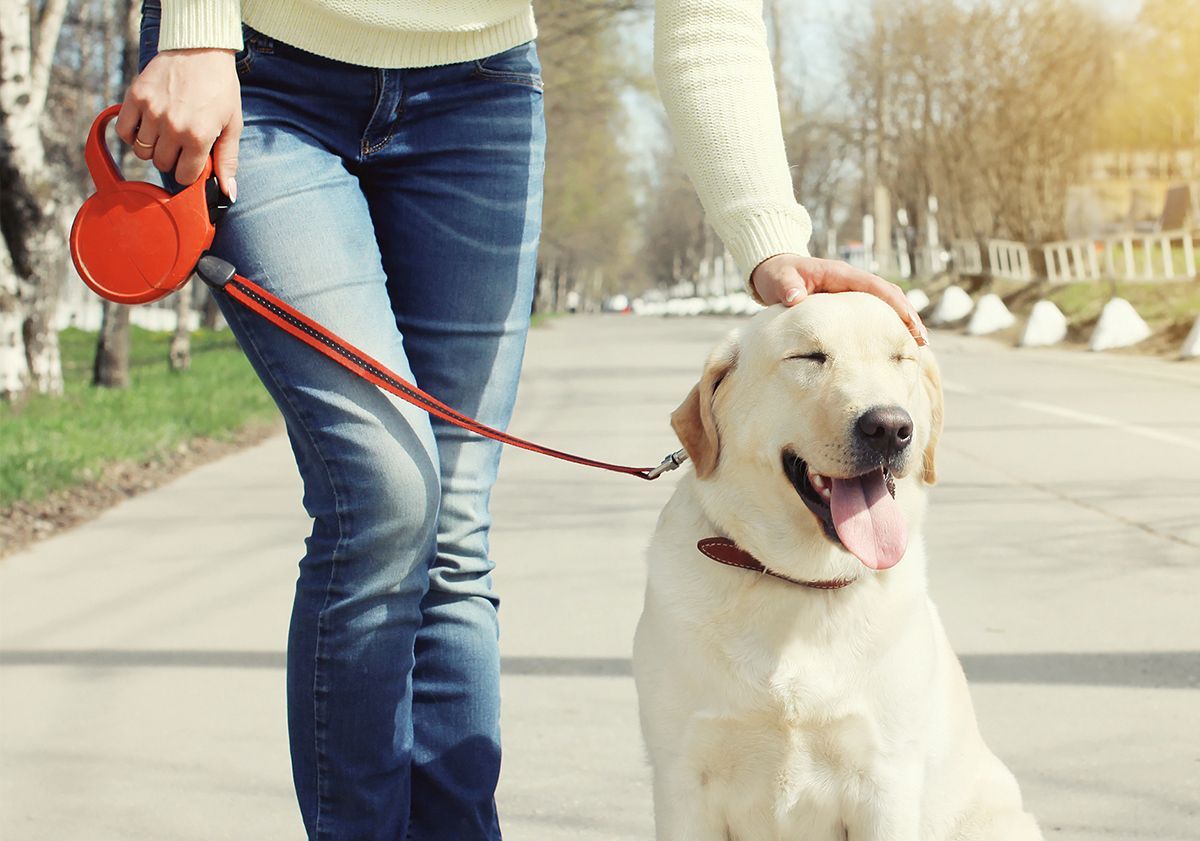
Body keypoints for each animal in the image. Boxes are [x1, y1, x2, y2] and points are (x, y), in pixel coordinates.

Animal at [633, 293, 1036, 839]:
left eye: (900, 359)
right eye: (808, 357)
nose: (889, 428)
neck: (799, 581)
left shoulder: (885, 782)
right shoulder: (683, 778)